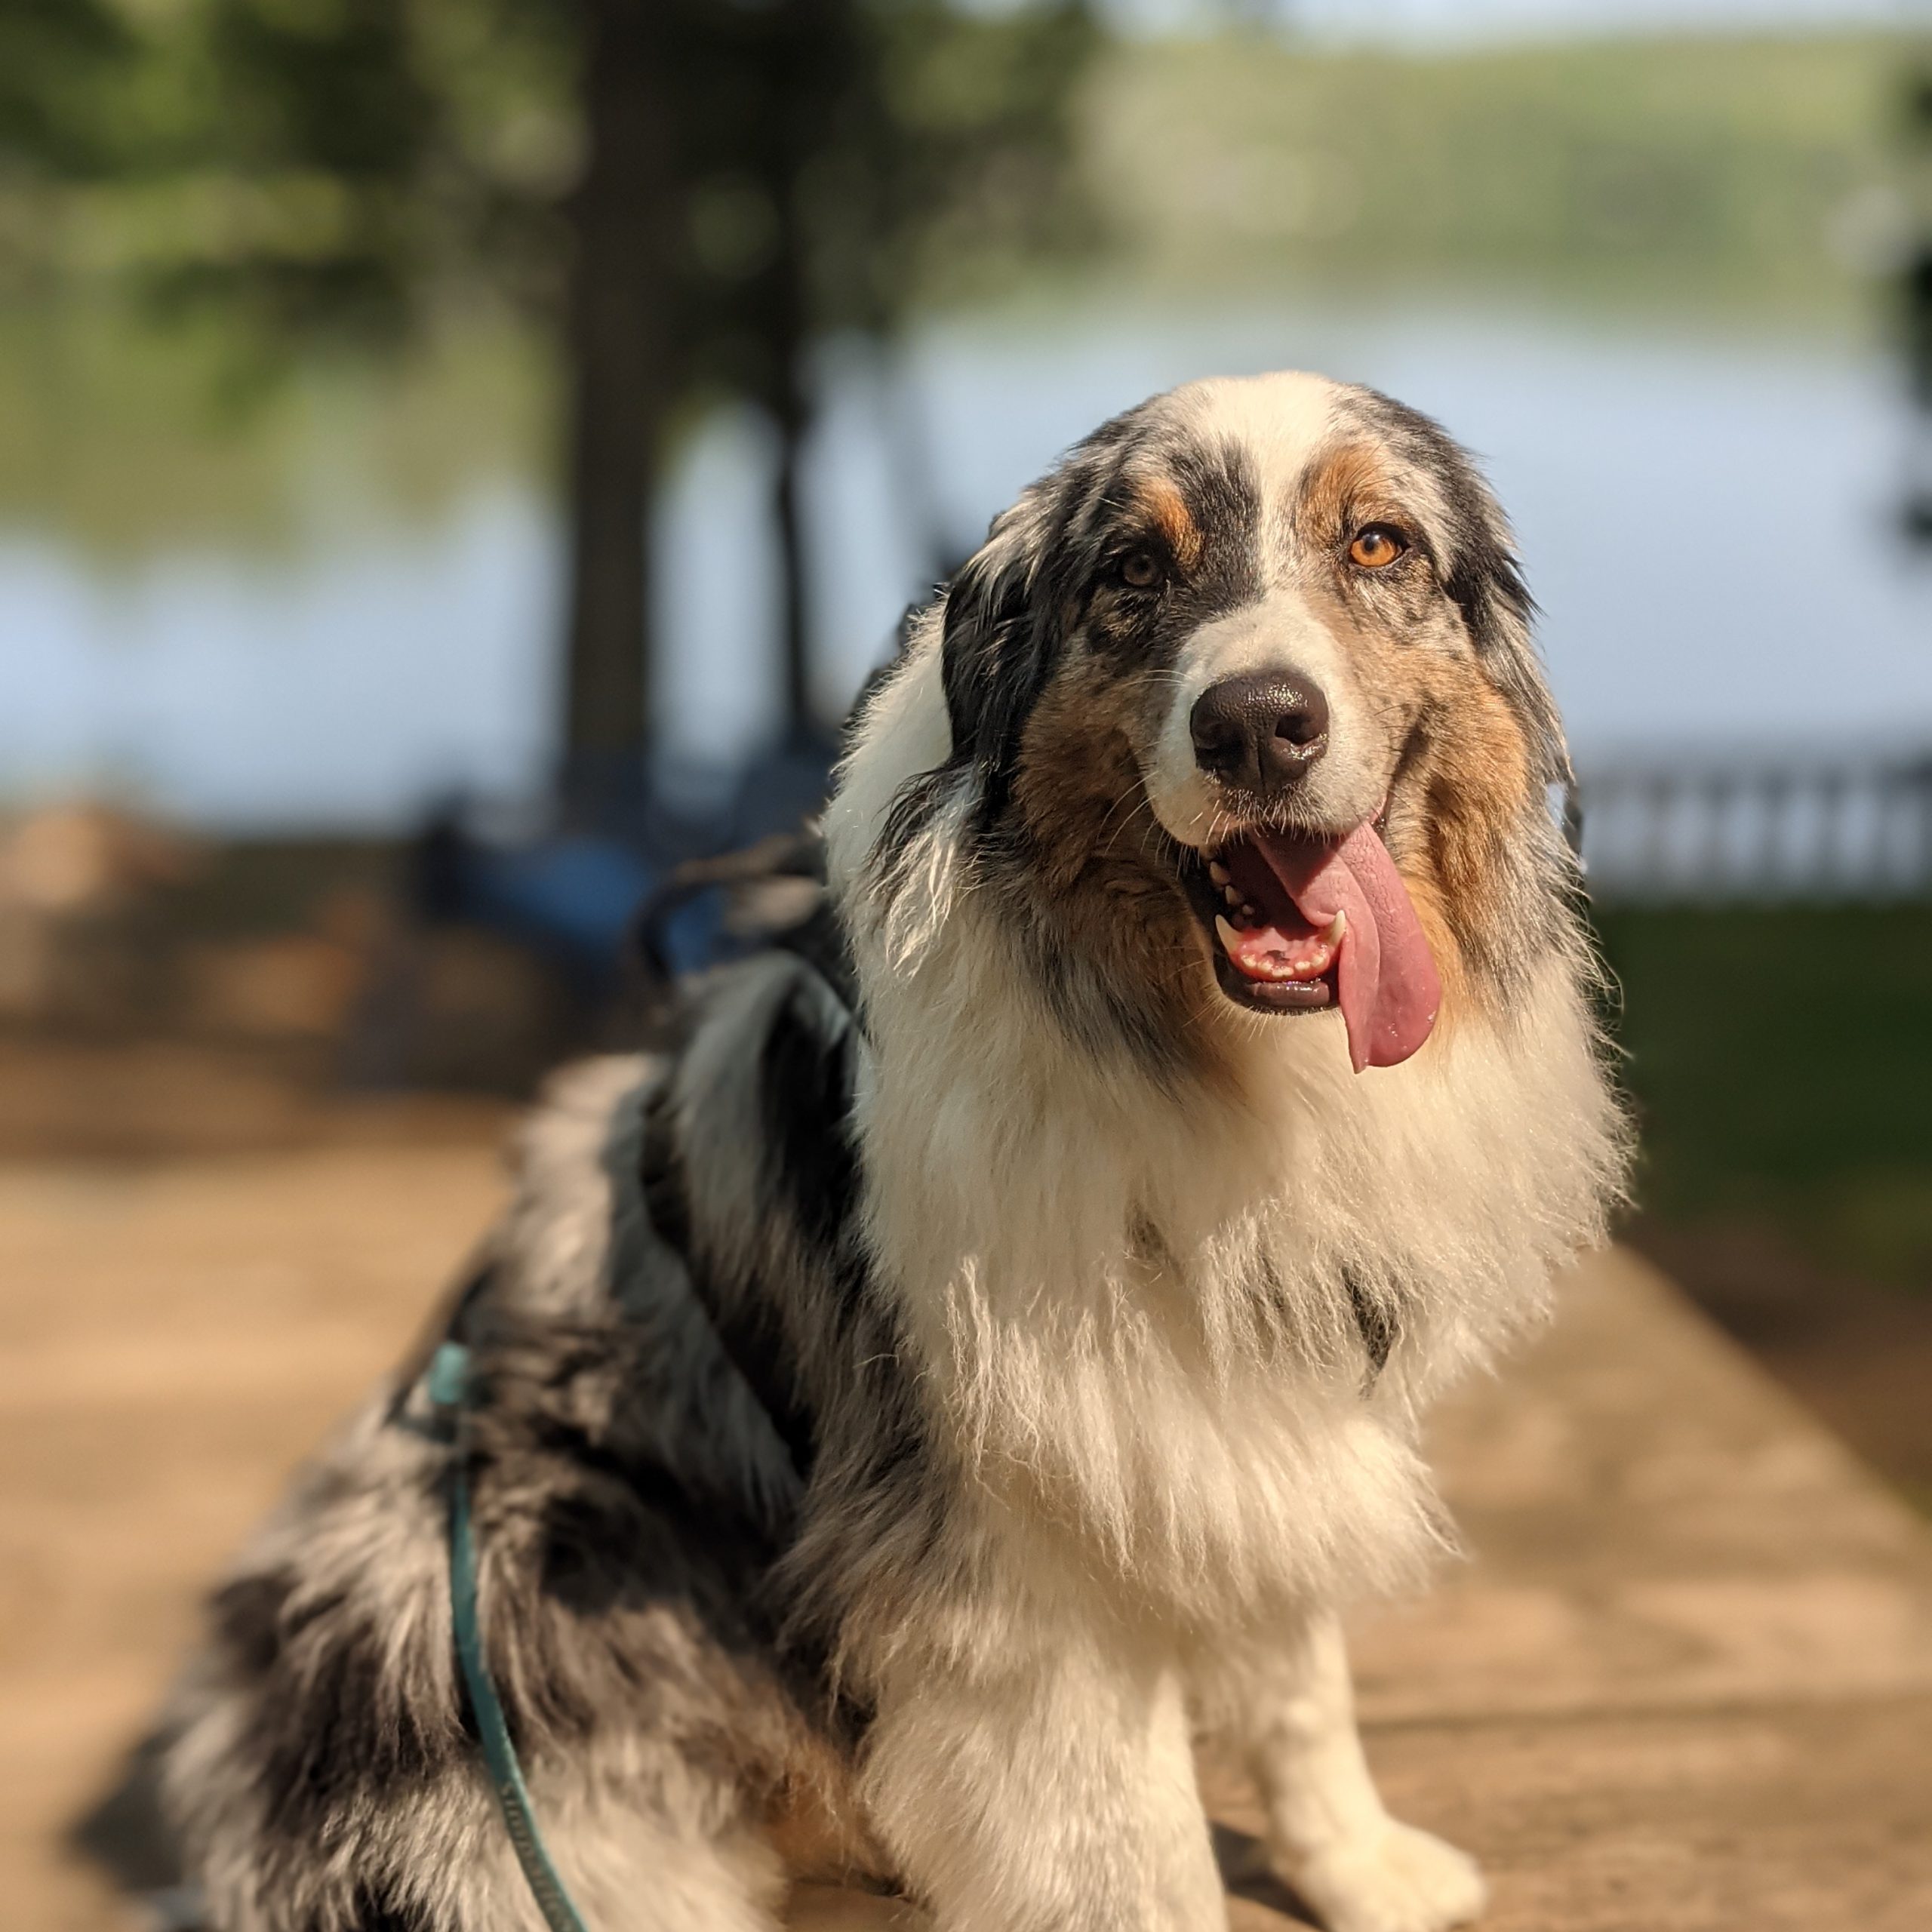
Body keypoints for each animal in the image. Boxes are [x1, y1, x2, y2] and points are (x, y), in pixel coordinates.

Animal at [159, 371, 1627, 1932]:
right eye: (1131, 572)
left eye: (1377, 545)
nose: (1257, 725)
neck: (1214, 1050)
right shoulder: (1016, 1553)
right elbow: (1136, 1855)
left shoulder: (1242, 1406)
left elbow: (1303, 1680)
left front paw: (1358, 1865)